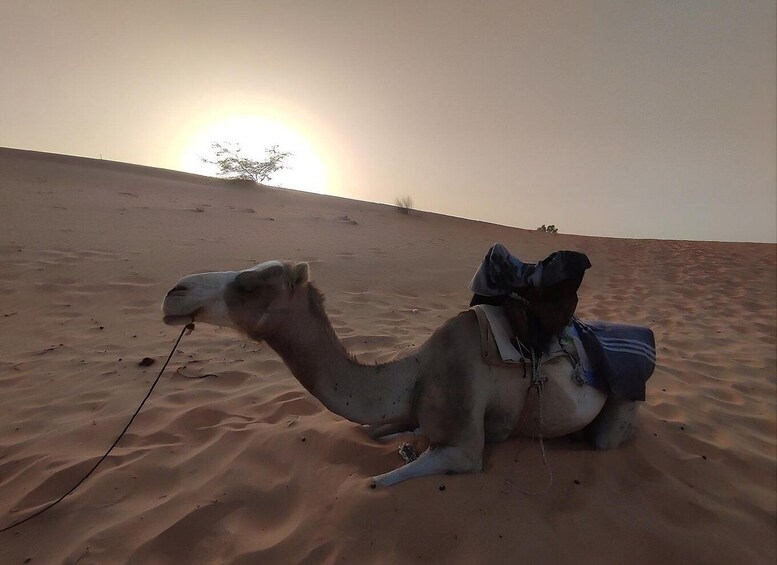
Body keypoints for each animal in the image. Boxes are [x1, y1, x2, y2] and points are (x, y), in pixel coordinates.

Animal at [162, 260, 641, 487]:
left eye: (247, 286)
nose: (174, 292)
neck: (417, 373)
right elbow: (372, 431)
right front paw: (400, 435)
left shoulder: (465, 448)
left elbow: (376, 481)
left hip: (620, 405)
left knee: (605, 438)